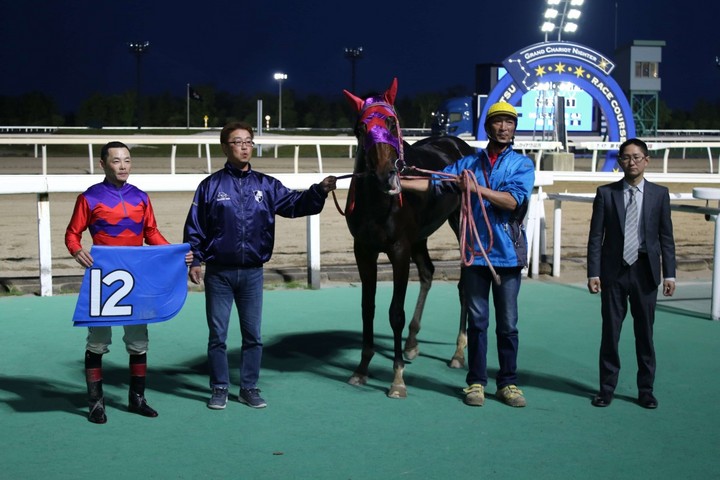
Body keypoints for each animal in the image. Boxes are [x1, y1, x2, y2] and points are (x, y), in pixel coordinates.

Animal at [342, 77, 476, 398]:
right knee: (427, 271)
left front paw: (397, 378)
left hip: (459, 222)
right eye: (360, 128)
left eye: (391, 123)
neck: (380, 202)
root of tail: (457, 143)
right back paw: (413, 343)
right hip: (421, 235)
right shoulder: (363, 250)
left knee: (464, 285)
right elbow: (368, 308)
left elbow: (395, 313)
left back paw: (458, 353)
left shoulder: (399, 249)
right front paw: (362, 369)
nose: (385, 175)